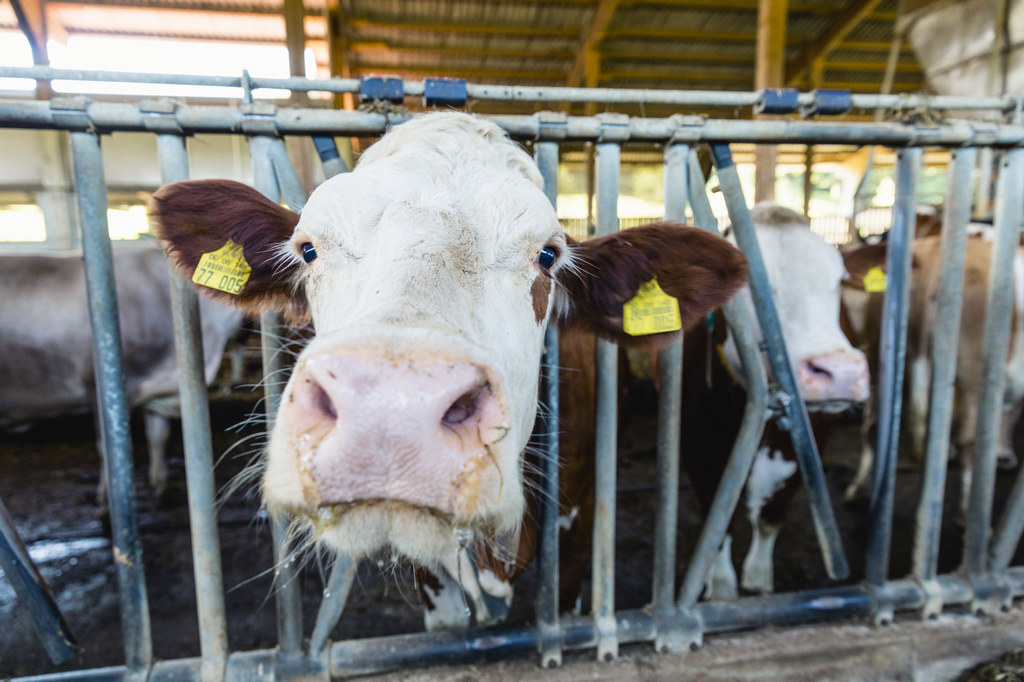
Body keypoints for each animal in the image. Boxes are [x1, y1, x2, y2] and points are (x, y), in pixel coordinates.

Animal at [0, 241, 243, 497]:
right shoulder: (105, 387)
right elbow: (109, 448)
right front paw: (106, 498)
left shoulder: (157, 387)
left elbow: (158, 435)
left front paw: (159, 483)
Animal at [679, 201, 872, 593]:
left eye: (839, 281)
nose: (840, 373)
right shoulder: (700, 454)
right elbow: (718, 527)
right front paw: (720, 587)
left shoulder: (803, 451)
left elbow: (770, 517)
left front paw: (758, 581)